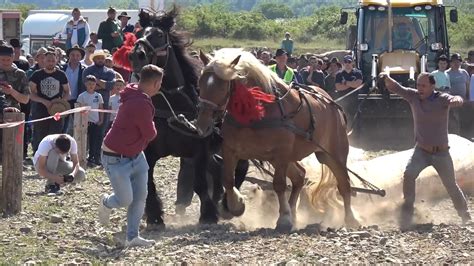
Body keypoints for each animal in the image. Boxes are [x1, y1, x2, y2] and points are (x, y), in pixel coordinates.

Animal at [129, 8, 248, 229]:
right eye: (139, 32)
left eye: (159, 35)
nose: (136, 55)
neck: (173, 106)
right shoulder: (149, 151)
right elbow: (149, 183)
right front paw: (155, 216)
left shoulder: (199, 150)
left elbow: (200, 183)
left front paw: (208, 214)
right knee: (218, 170)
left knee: (238, 168)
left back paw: (227, 204)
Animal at [194, 48, 358, 230]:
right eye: (200, 84)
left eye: (223, 88)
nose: (201, 125)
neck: (255, 114)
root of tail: (331, 102)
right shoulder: (231, 149)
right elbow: (228, 180)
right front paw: (235, 206)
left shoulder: (282, 152)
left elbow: (279, 184)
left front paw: (284, 218)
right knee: (299, 176)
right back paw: (294, 214)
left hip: (333, 154)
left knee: (344, 184)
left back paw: (351, 218)